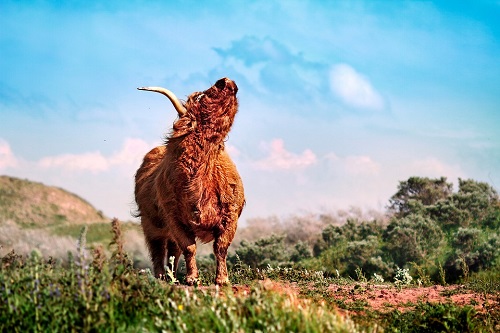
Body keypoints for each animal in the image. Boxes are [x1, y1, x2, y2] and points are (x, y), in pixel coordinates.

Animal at [135, 78, 244, 286]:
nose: (226, 81)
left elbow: (221, 247)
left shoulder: (230, 215)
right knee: (158, 249)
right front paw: (193, 278)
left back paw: (172, 276)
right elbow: (189, 247)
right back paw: (161, 276)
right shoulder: (174, 218)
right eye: (201, 96)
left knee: (172, 251)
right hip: (151, 223)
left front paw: (222, 279)